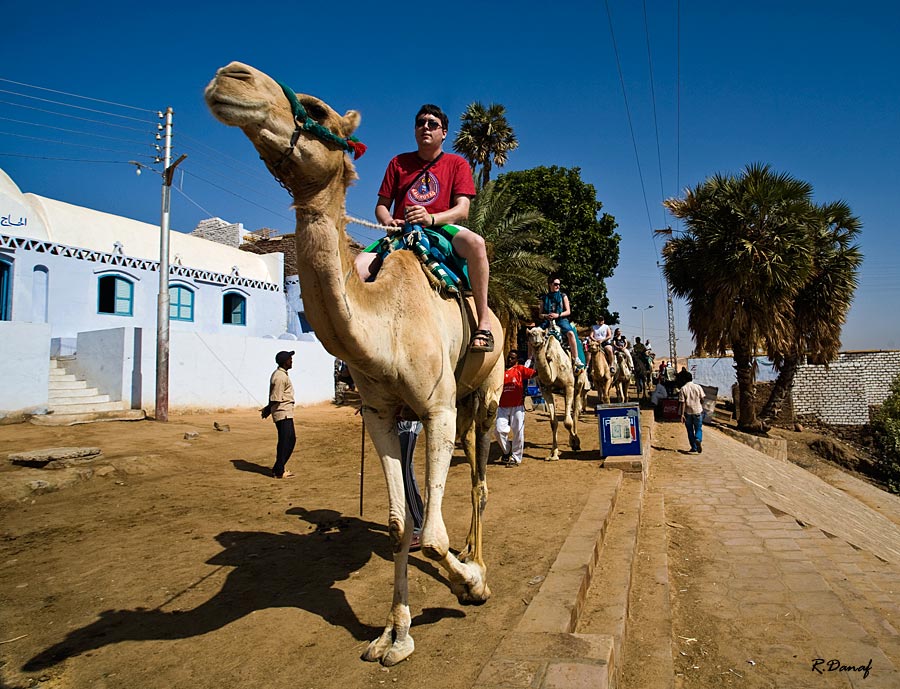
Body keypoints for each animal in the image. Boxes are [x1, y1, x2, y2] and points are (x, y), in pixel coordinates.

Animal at [206, 61, 506, 664]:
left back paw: (479, 561)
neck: (386, 323)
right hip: (459, 404)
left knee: (480, 480)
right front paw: (394, 635)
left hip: (485, 392)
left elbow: (431, 536)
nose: (230, 76)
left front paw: (470, 585)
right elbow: (396, 525)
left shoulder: (436, 407)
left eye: (318, 109)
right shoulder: (381, 413)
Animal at [528, 326, 584, 460]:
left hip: (578, 385)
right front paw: (553, 454)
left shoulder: (568, 386)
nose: (536, 341)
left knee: (575, 413)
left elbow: (567, 422)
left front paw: (575, 443)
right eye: (530, 334)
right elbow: (553, 422)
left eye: (543, 334)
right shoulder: (545, 390)